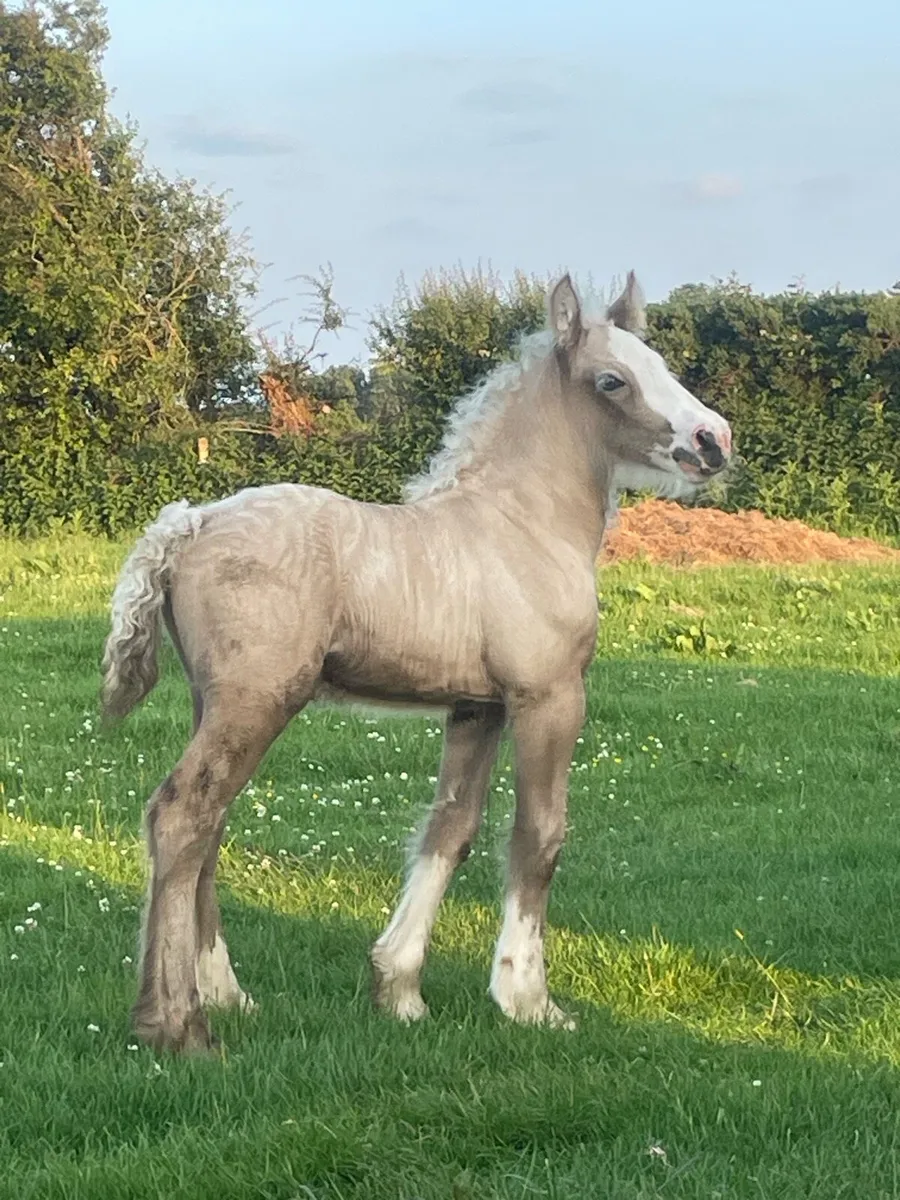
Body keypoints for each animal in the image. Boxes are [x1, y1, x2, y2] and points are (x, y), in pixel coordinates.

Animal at [101, 271, 733, 1053]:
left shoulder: (477, 707)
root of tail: (189, 522)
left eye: (662, 364)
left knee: (209, 824)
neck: (522, 525)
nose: (713, 440)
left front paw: (398, 989)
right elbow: (538, 836)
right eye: (612, 380)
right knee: (183, 815)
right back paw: (178, 1024)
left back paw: (226, 993)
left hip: (212, 701)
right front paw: (528, 998)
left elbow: (449, 831)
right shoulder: (549, 697)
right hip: (257, 700)